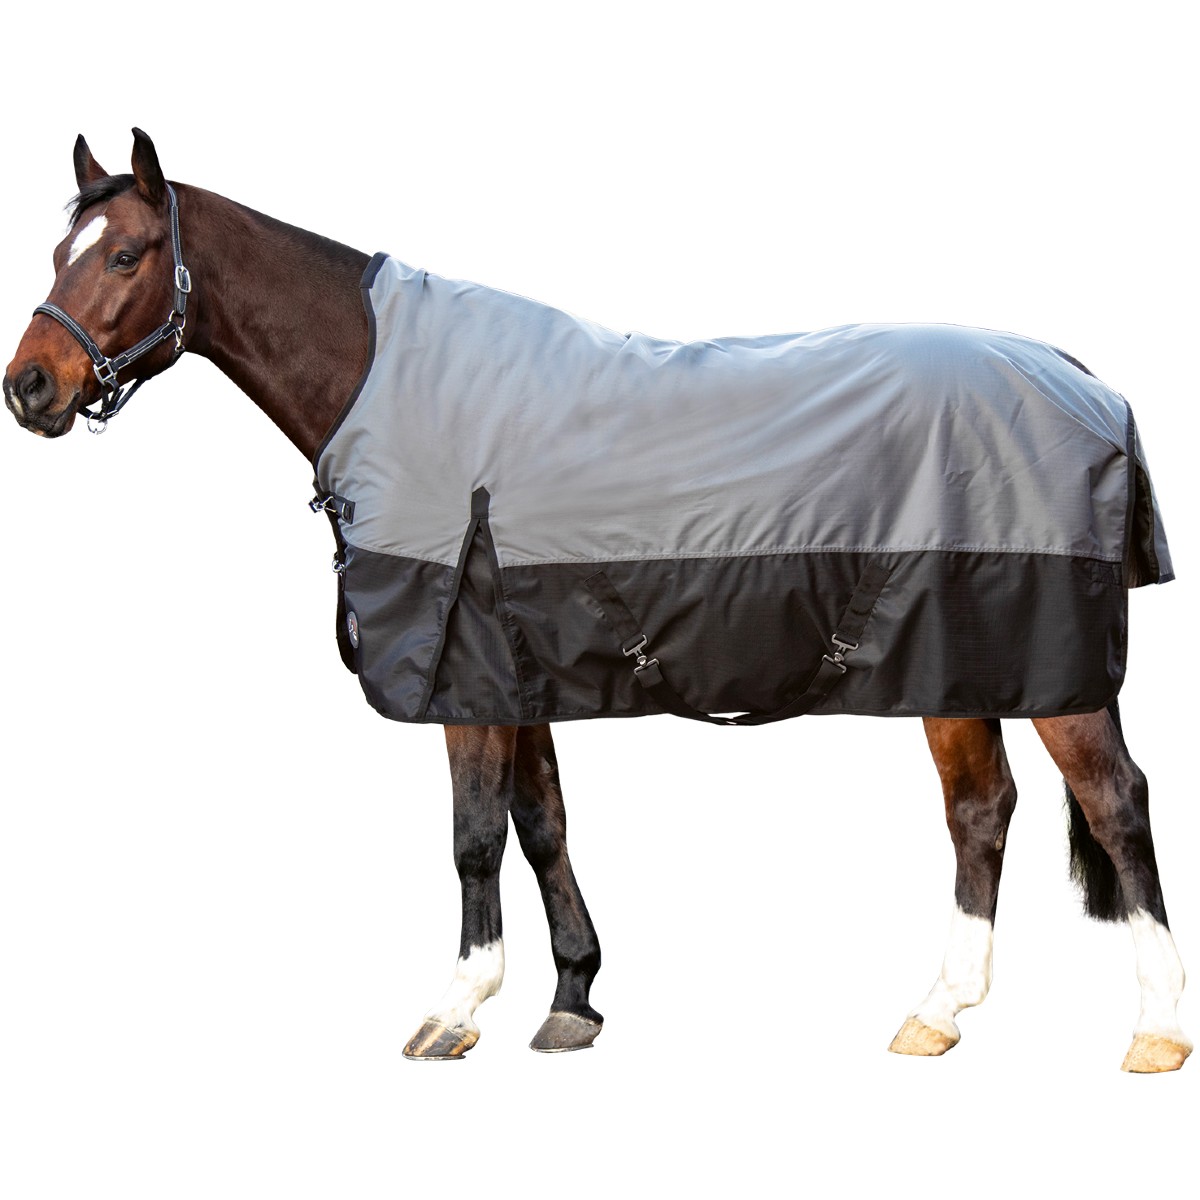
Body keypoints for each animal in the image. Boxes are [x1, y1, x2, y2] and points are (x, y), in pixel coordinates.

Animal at [3, 129, 1190, 1072]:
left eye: (125, 253)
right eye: (60, 251)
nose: (31, 388)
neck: (394, 383)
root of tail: (1086, 380)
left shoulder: (466, 677)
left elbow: (474, 836)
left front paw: (456, 1009)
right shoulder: (514, 670)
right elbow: (542, 826)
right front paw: (573, 998)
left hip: (1054, 672)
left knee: (1116, 805)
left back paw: (1157, 1029)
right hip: (958, 660)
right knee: (981, 812)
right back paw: (939, 1011)